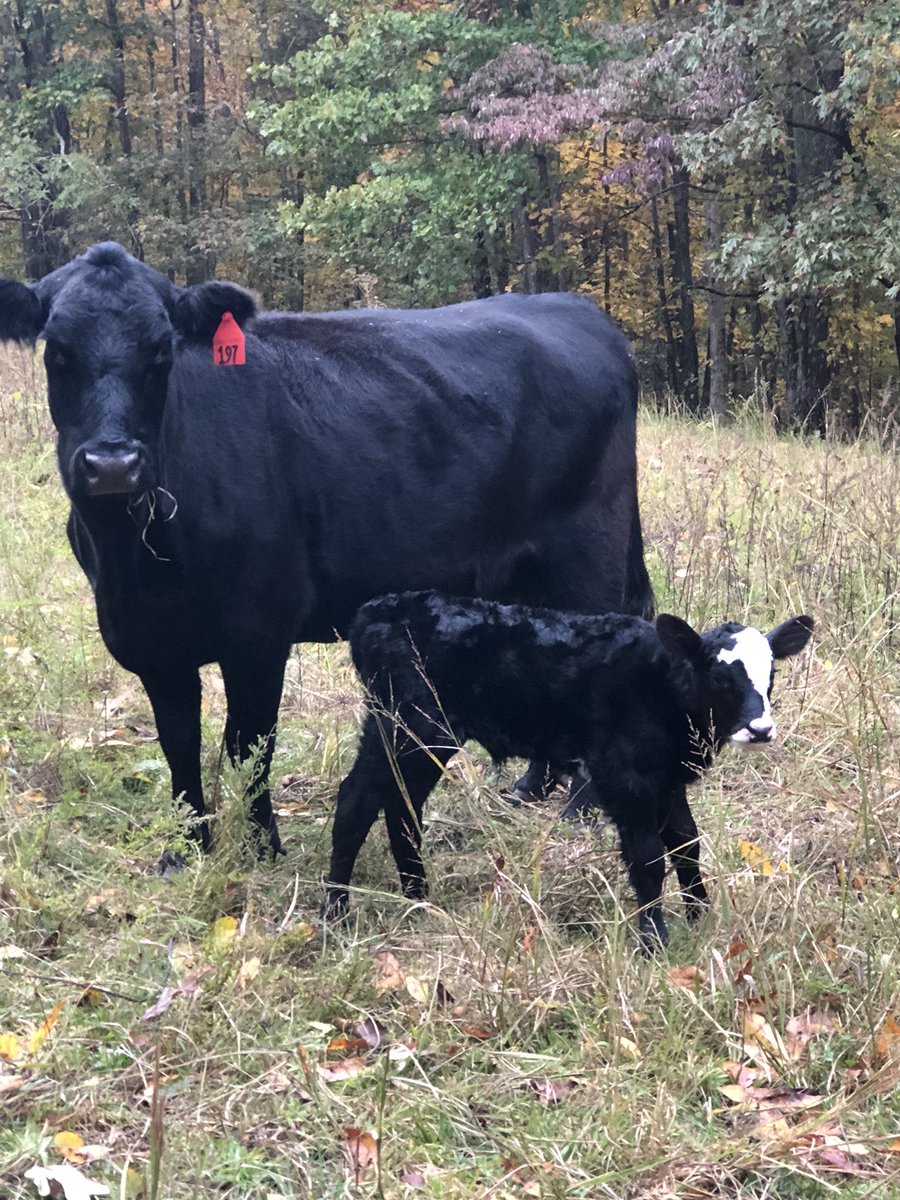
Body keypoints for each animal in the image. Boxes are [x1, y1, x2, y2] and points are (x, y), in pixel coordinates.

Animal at [0, 241, 652, 861]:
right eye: (57, 351)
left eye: (161, 351)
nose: (113, 463)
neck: (138, 561)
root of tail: (575, 309)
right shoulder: (150, 640)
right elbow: (179, 744)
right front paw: (185, 852)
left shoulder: (259, 631)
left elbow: (250, 741)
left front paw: (262, 846)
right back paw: (532, 786)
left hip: (588, 551)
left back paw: (579, 809)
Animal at [325, 592, 813, 949]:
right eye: (719, 676)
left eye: (770, 674)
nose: (760, 729)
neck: (661, 684)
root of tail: (373, 613)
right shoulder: (624, 776)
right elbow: (649, 856)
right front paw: (654, 941)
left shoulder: (667, 778)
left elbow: (686, 845)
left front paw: (700, 917)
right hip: (403, 724)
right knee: (356, 800)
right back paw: (335, 913)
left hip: (426, 736)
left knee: (402, 804)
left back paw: (418, 898)